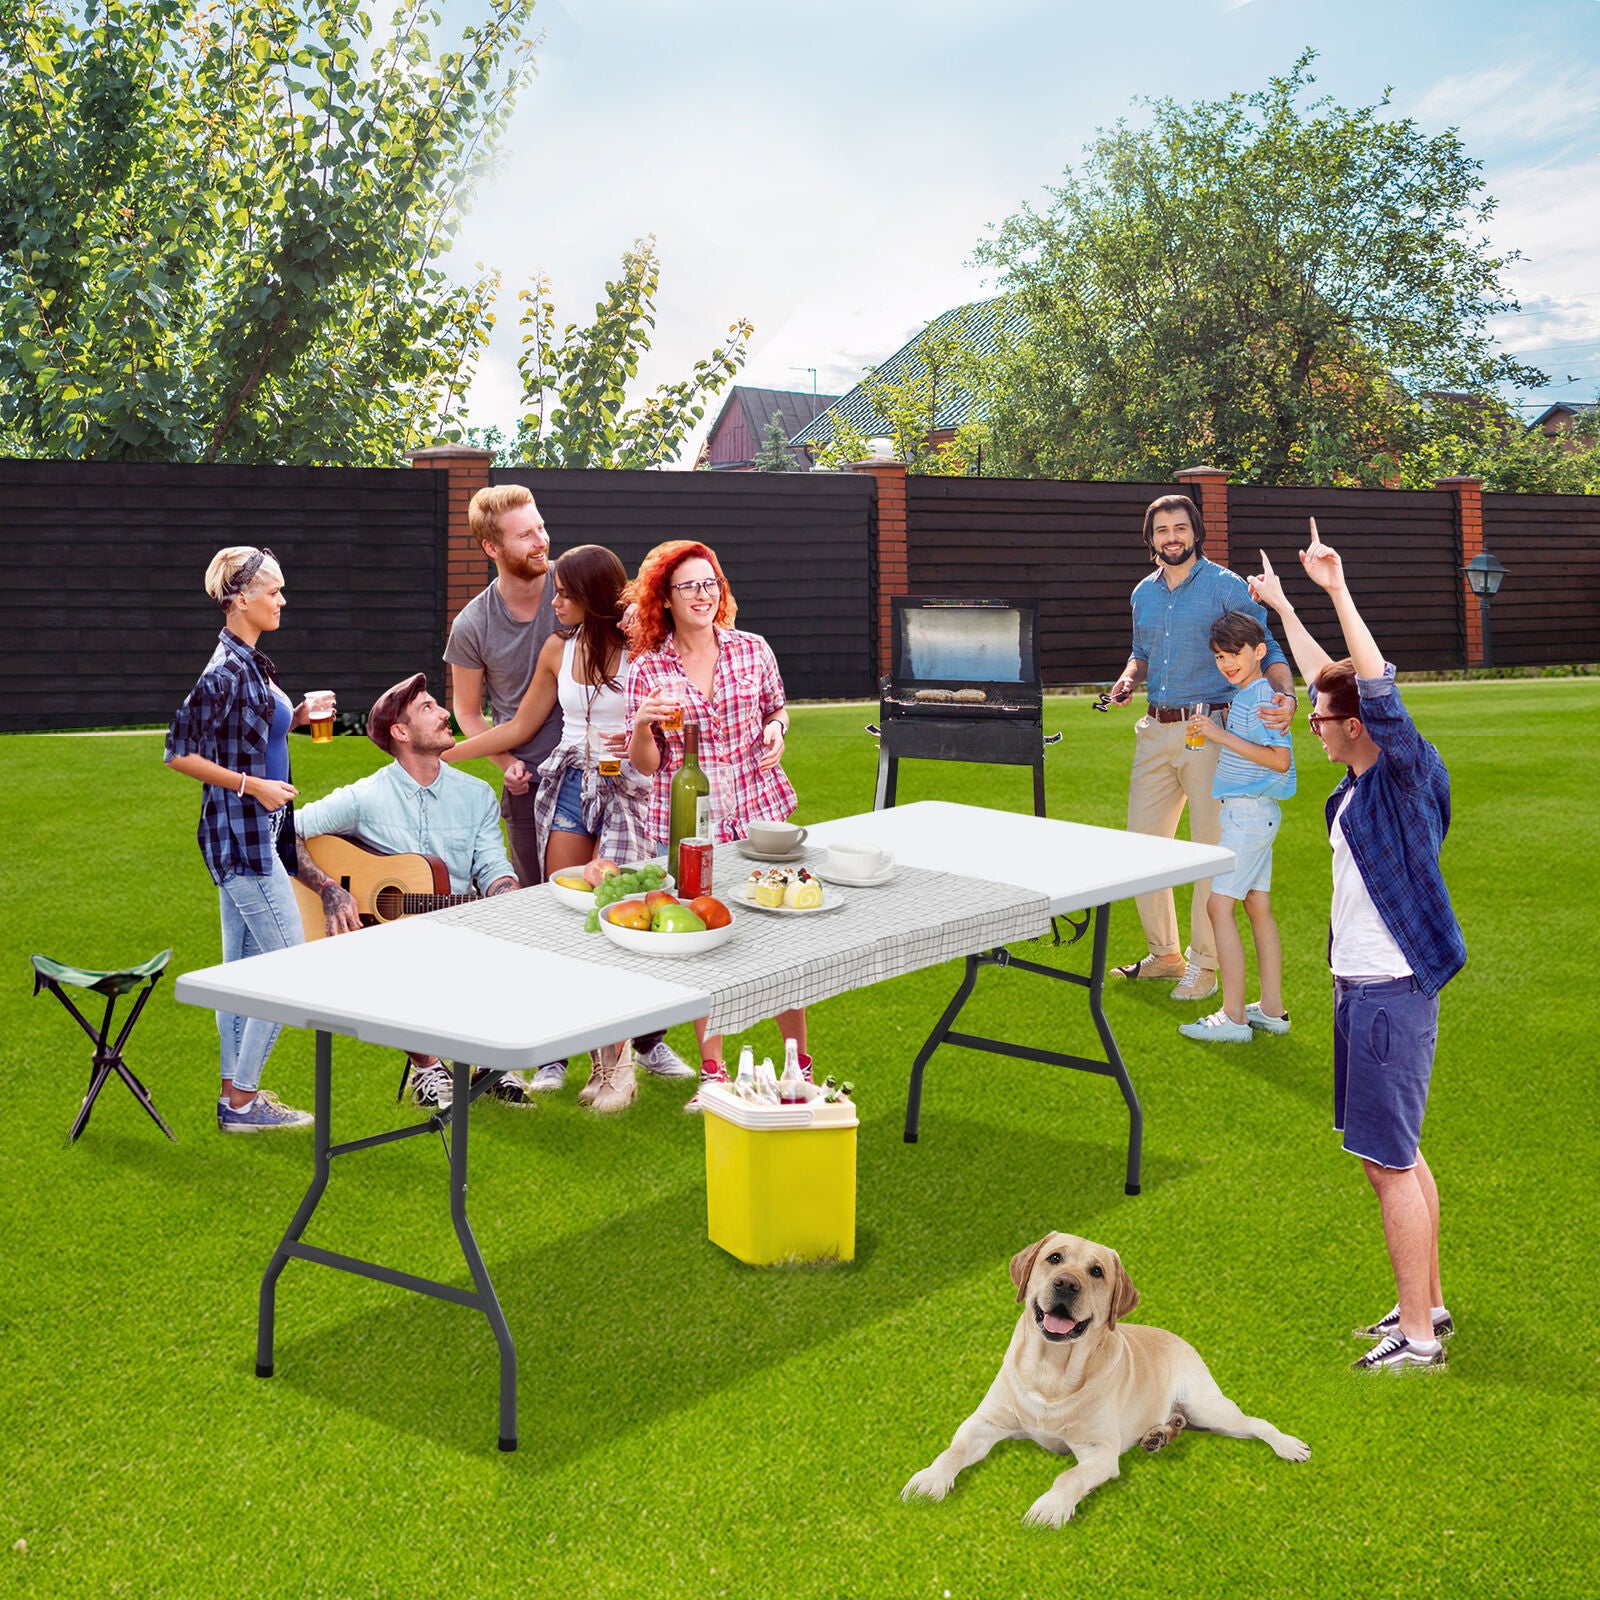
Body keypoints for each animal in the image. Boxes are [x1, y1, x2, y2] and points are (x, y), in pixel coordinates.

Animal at [908, 1228, 1305, 1529]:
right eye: (1054, 1258)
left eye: (1096, 1271)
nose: (1066, 1284)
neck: (1052, 1370)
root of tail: (1179, 1337)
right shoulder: (985, 1422)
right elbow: (954, 1450)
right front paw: (930, 1479)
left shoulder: (1099, 1451)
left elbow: (1069, 1476)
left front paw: (1050, 1507)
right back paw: (1159, 1435)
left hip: (1208, 1407)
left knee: (1256, 1423)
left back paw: (1288, 1445)